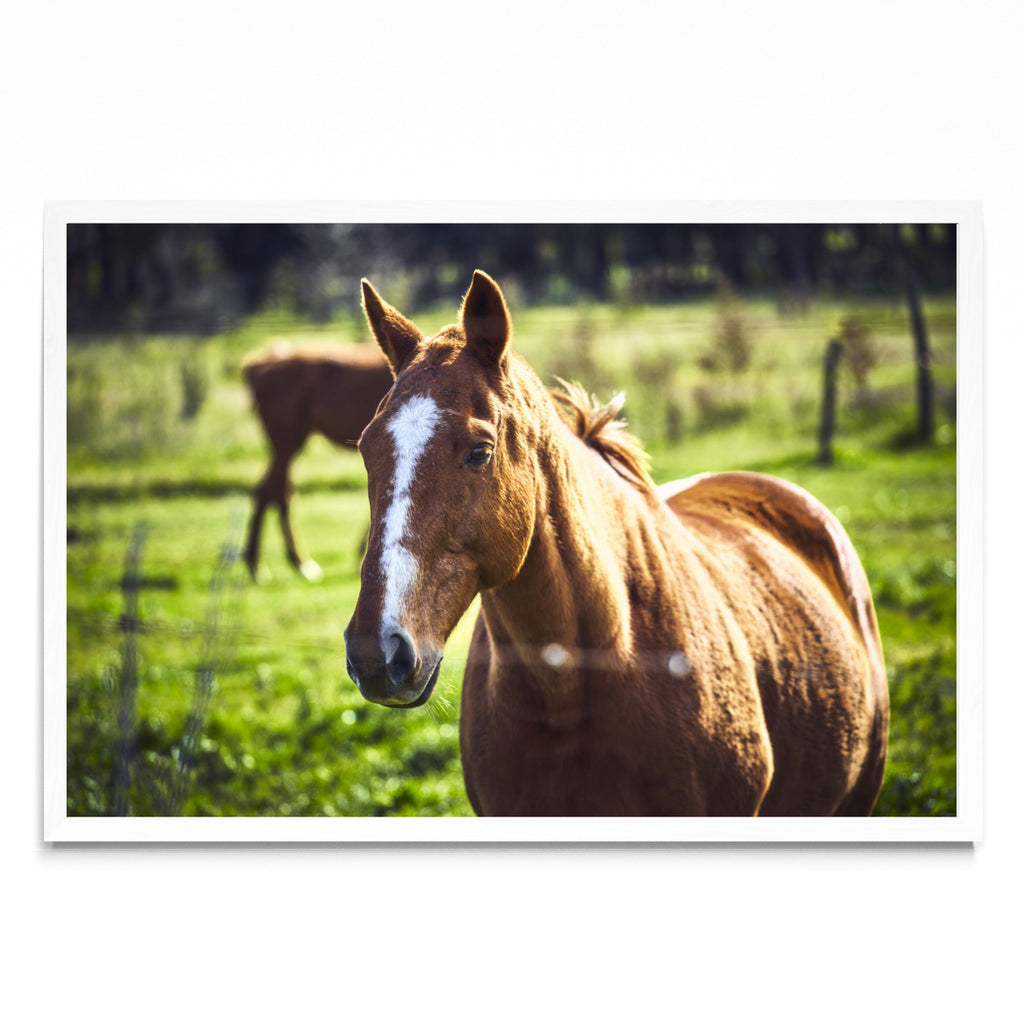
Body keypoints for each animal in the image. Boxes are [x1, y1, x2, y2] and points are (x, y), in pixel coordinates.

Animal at [242, 342, 393, 581]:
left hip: (290, 443)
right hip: (286, 442)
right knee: (271, 493)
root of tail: (258, 366)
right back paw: (268, 564)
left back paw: (289, 562)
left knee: (278, 493)